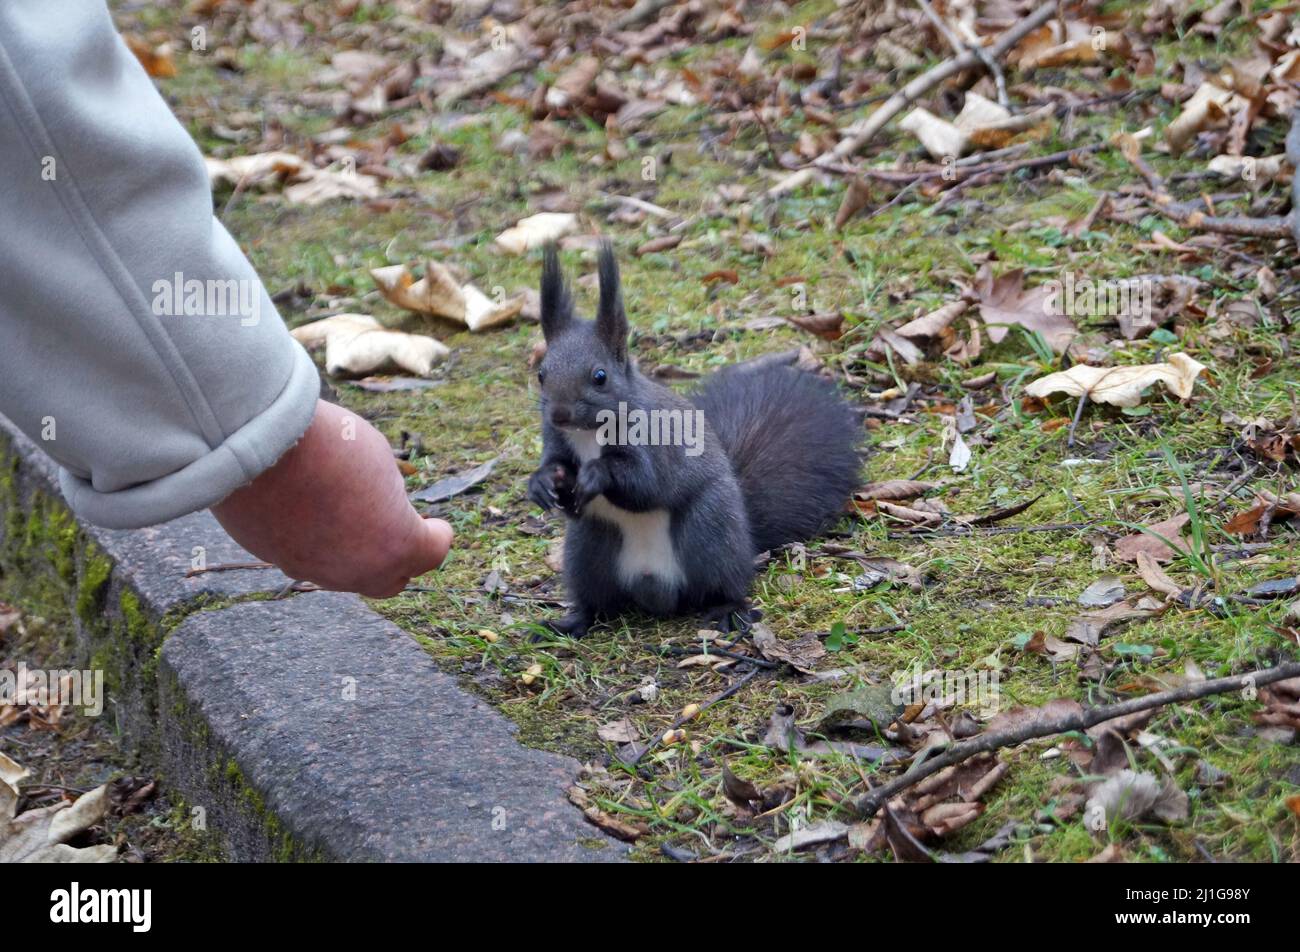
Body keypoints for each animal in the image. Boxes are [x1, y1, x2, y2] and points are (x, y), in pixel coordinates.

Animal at [527, 243, 861, 638]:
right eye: (541, 374)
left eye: (600, 376)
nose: (560, 414)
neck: (589, 432)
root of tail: (655, 588)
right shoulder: (557, 440)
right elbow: (556, 466)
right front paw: (542, 482)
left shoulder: (656, 442)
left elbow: (644, 483)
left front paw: (595, 473)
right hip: (588, 550)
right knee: (596, 602)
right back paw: (569, 622)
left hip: (709, 532)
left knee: (726, 584)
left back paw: (727, 610)